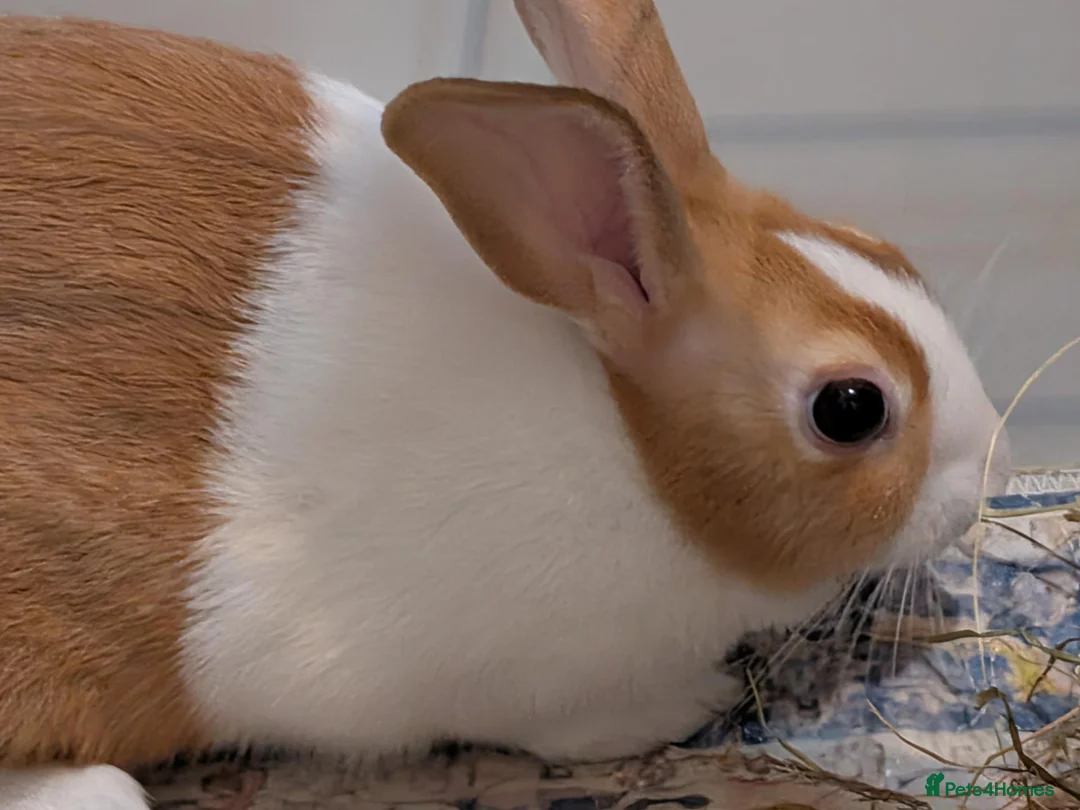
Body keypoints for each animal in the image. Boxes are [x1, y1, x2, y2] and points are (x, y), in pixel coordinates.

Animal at [0, 1, 1012, 808]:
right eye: (851, 408)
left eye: (880, 245)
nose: (974, 487)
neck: (636, 450)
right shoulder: (494, 681)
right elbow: (575, 725)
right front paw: (692, 703)